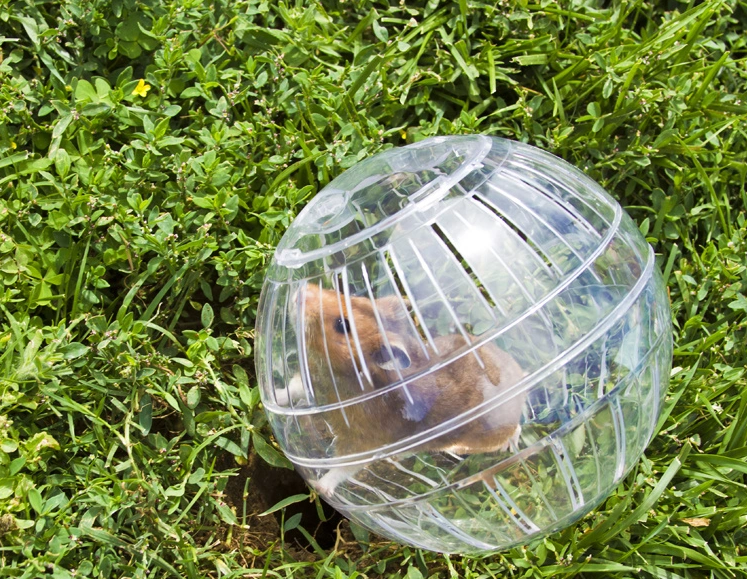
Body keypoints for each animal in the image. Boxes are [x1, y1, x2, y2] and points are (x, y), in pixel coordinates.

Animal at [291, 283, 526, 496]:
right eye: (344, 294)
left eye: (342, 324)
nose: (300, 290)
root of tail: (521, 376)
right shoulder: (311, 382)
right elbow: (290, 391)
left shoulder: (363, 441)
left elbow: (343, 467)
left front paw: (319, 487)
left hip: (475, 441)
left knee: (515, 429)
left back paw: (512, 446)